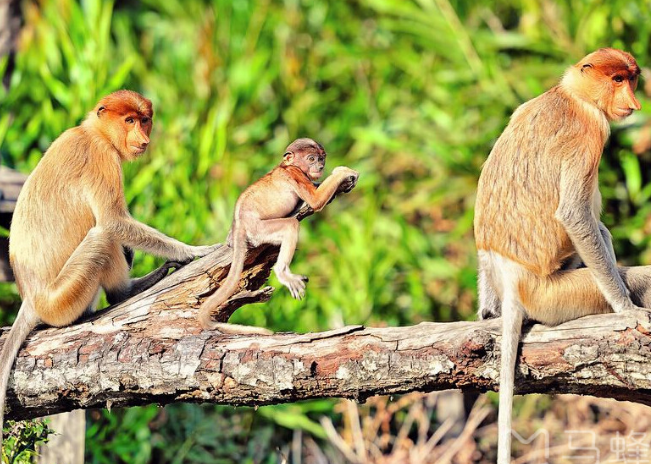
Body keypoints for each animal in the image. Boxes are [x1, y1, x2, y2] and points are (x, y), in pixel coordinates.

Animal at [0, 89, 219, 448]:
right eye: (128, 120)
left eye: (144, 120)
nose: (143, 138)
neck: (95, 132)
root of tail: (31, 300)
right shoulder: (102, 158)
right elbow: (113, 221)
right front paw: (195, 251)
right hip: (62, 299)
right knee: (102, 236)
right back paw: (127, 290)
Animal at [201, 139, 360, 334]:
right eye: (311, 158)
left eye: (322, 158)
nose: (321, 166)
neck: (286, 166)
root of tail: (240, 224)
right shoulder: (294, 174)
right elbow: (315, 201)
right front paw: (344, 172)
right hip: (259, 230)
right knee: (291, 225)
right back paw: (282, 272)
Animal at [476, 48, 648, 464]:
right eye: (618, 80)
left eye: (631, 79)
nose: (634, 103)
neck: (571, 94)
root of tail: (514, 279)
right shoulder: (590, 133)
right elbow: (574, 215)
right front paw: (627, 310)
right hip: (552, 296)